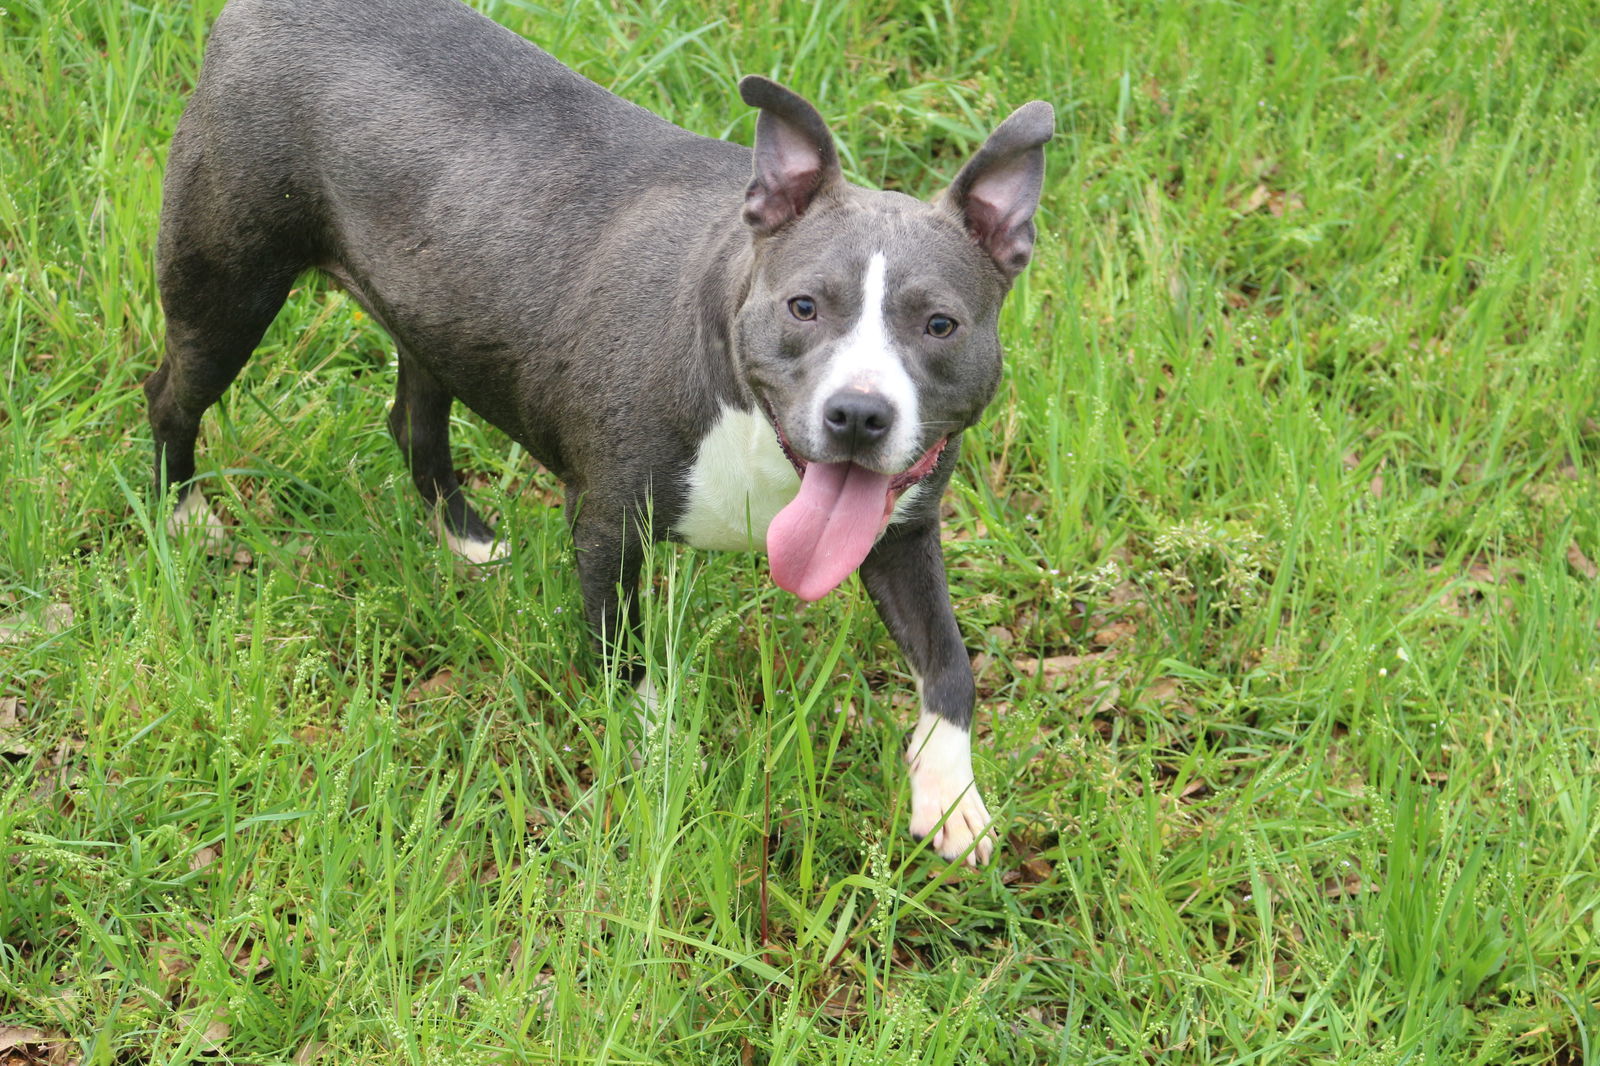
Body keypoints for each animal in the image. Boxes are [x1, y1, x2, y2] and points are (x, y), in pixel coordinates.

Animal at [147, 0, 1049, 864]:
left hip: (432, 313)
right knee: (170, 397)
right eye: (803, 307)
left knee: (413, 424)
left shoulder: (900, 535)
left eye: (940, 325)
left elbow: (950, 665)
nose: (859, 414)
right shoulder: (609, 531)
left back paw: (467, 540)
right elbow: (632, 669)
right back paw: (181, 517)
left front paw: (952, 800)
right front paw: (660, 764)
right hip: (228, 287)